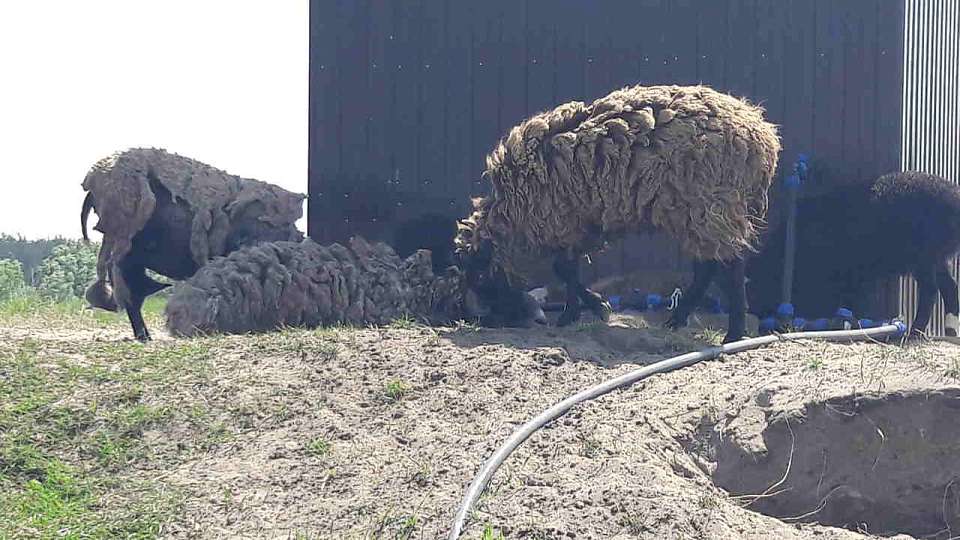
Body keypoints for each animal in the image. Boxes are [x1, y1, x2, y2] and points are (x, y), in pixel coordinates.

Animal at [455, 84, 781, 342]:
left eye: (481, 278)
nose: (491, 322)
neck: (511, 210)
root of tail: (762, 138)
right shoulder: (578, 223)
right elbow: (568, 269)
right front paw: (573, 314)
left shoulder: (564, 219)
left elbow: (564, 269)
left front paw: (595, 308)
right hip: (697, 213)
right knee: (709, 267)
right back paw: (677, 320)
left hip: (711, 206)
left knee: (730, 267)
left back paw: (734, 333)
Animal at [745, 171, 960, 337]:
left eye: (759, 286)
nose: (759, 321)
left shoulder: (850, 273)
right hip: (937, 258)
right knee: (950, 287)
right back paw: (950, 331)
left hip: (924, 256)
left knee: (931, 290)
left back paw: (914, 332)